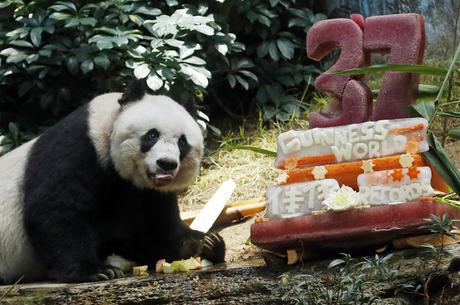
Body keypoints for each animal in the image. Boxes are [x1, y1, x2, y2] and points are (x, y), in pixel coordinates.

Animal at [0, 82, 225, 282]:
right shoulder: (78, 147)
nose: (166, 164)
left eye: (182, 142)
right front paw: (94, 271)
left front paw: (206, 243)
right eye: (152, 135)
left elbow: (150, 230)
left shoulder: (146, 194)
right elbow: (56, 210)